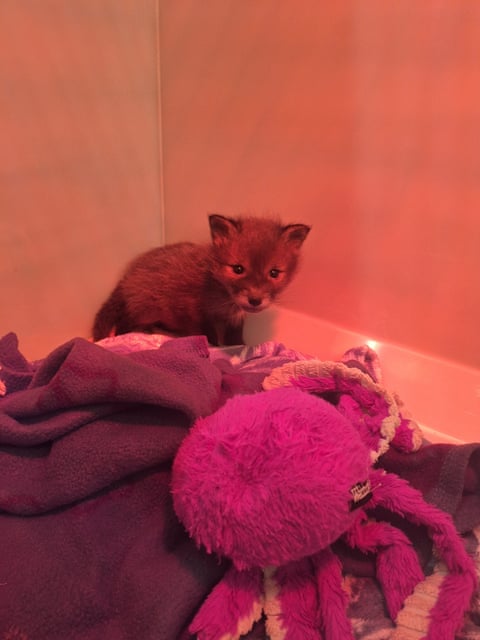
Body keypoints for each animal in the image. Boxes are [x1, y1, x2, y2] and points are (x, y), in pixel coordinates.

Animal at [92, 213, 310, 346]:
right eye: (238, 269)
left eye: (274, 273)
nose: (255, 300)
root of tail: (129, 272)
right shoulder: (194, 310)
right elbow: (207, 334)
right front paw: (214, 348)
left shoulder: (235, 317)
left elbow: (235, 336)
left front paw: (238, 347)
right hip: (145, 309)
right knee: (124, 321)